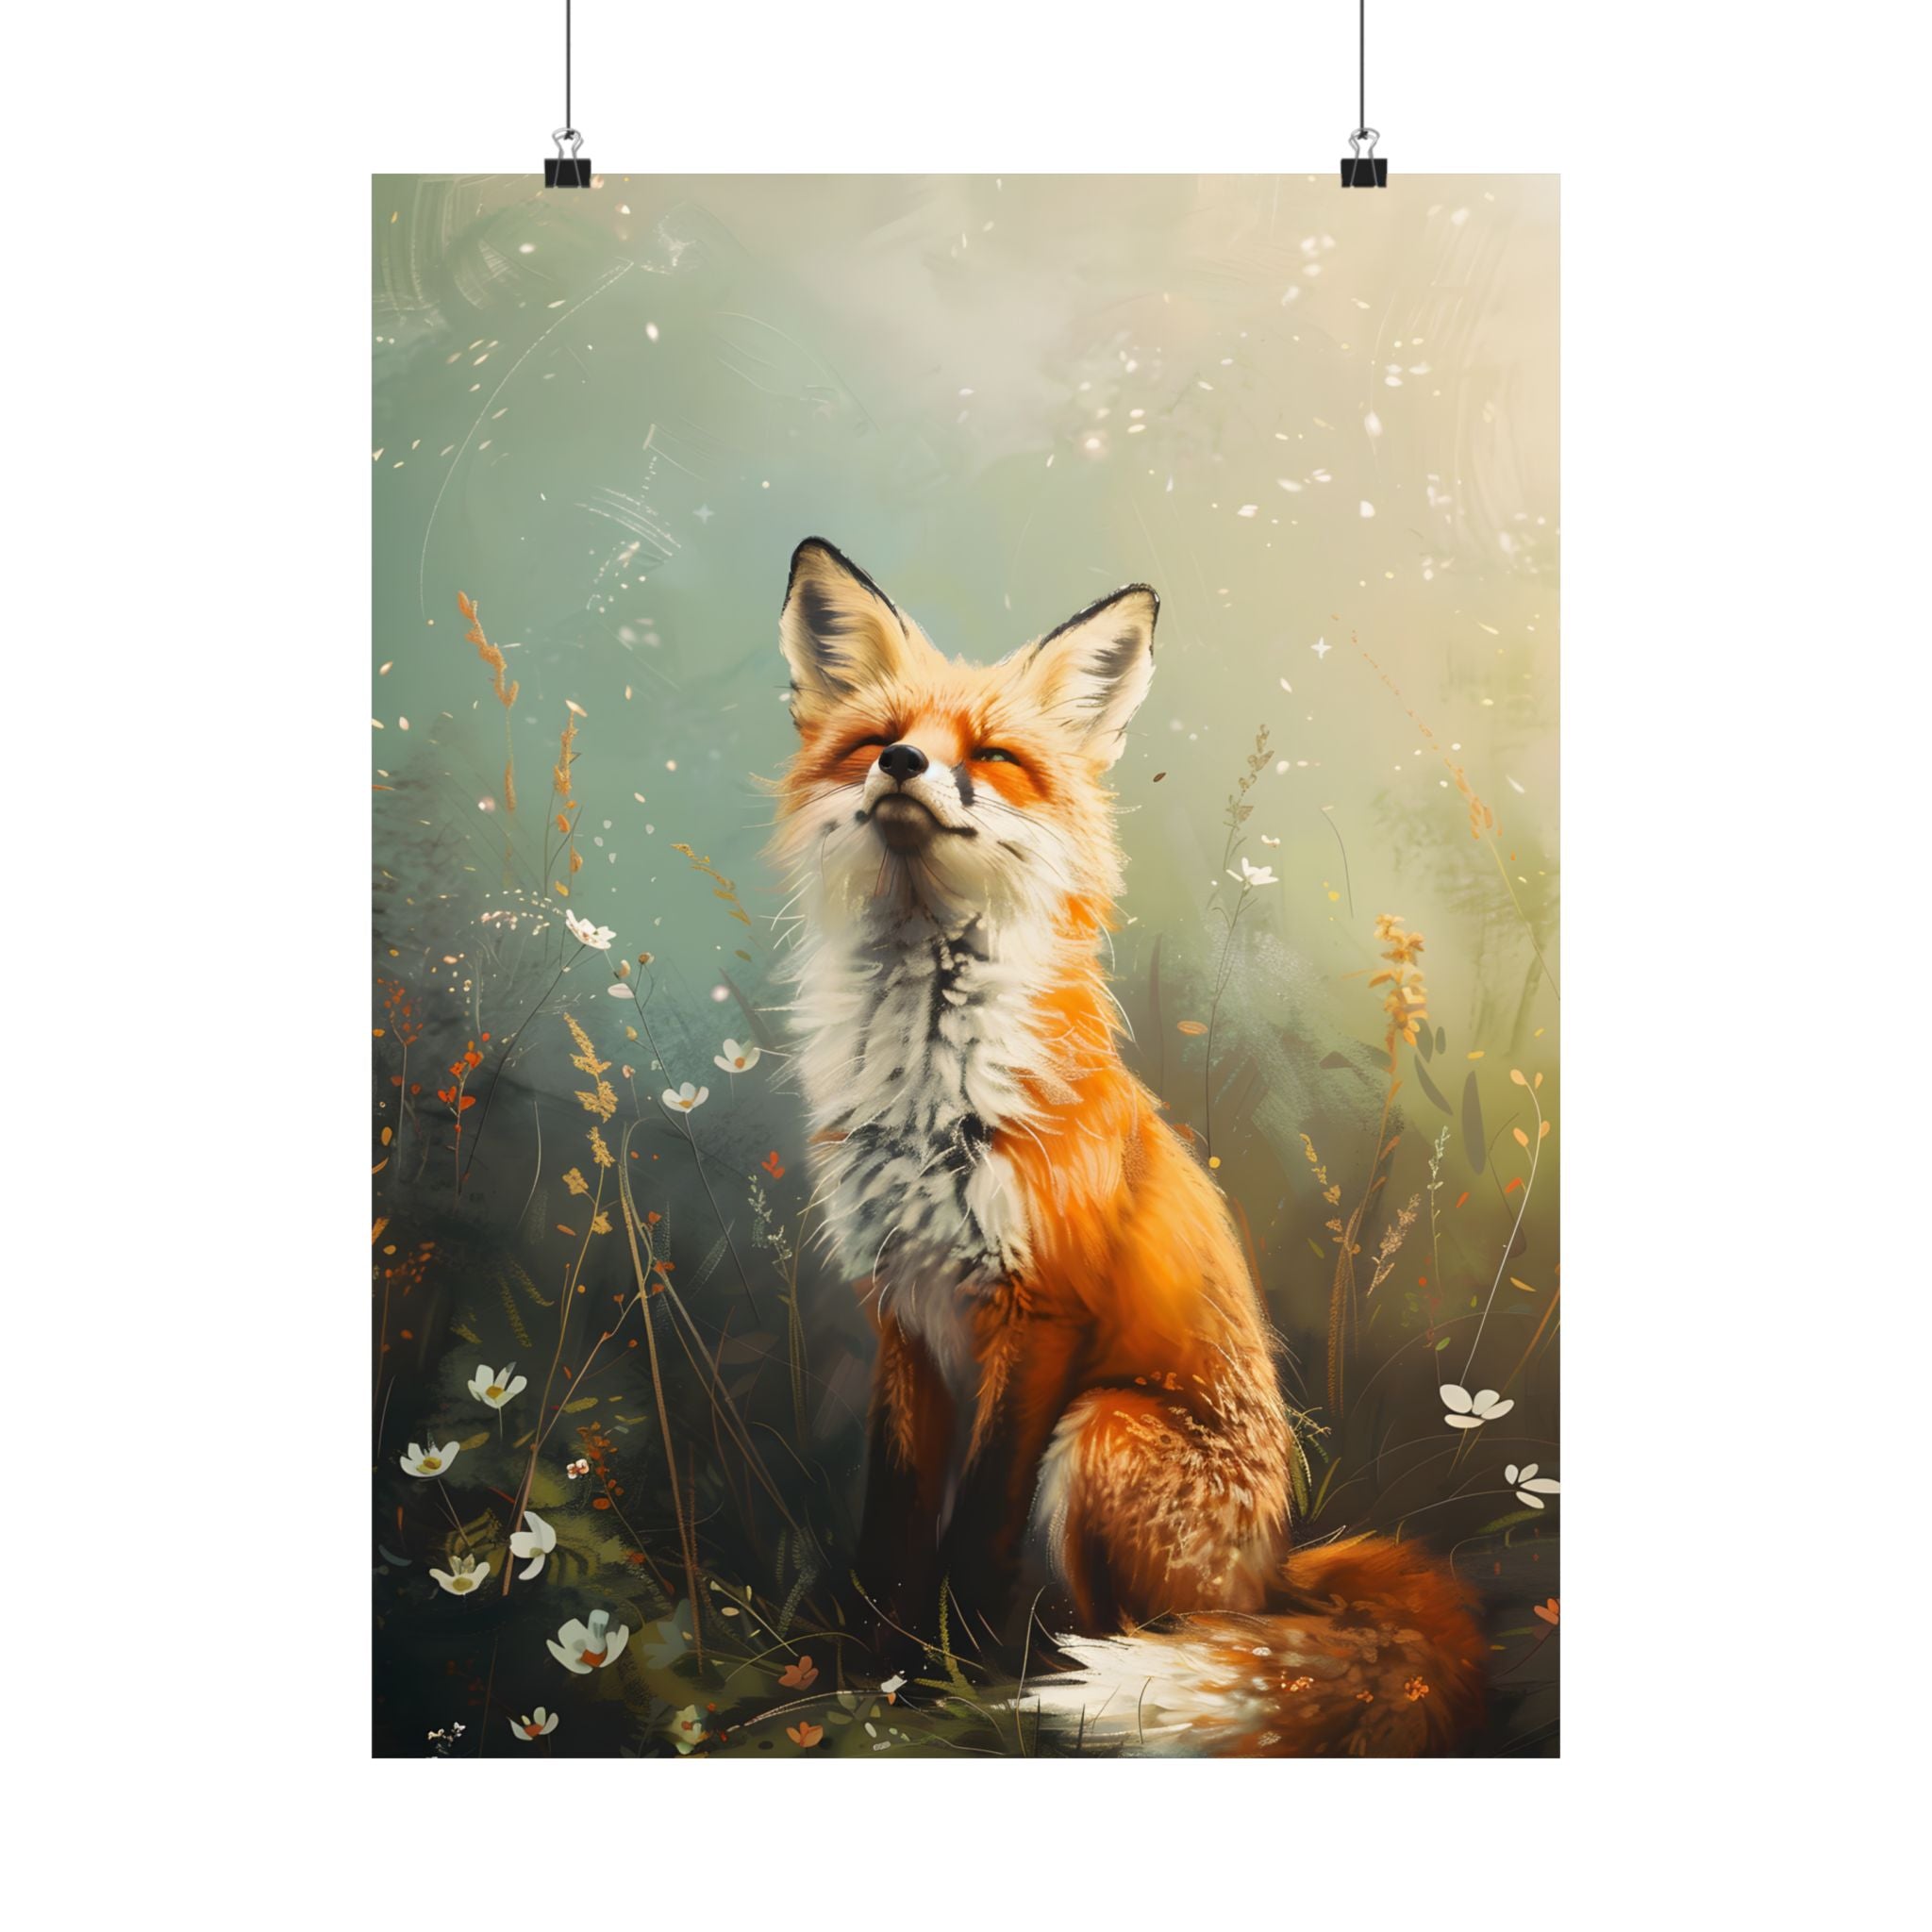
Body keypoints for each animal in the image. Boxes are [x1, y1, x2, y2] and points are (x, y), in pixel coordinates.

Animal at [769, 537, 1485, 1755]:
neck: (928, 1078)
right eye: (877, 739)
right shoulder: (900, 1309)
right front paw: (870, 1667)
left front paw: (943, 1682)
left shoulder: (1040, 1309)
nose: (904, 764)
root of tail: (1273, 1575)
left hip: (1103, 1429)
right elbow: (891, 1520)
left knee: (1157, 1640)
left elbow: (974, 1530)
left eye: (993, 756)